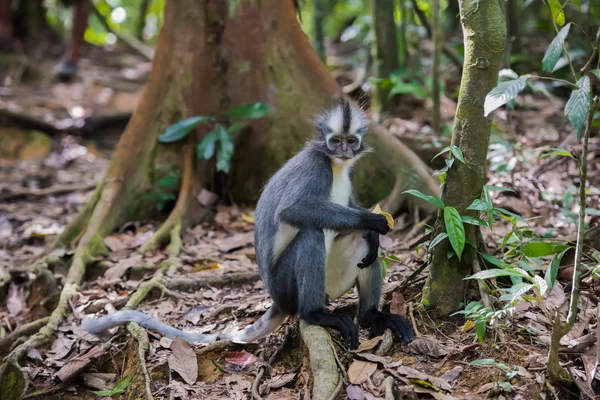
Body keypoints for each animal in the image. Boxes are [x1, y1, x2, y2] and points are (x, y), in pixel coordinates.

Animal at [82, 98, 414, 348]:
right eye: (335, 142)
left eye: (350, 141)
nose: (344, 151)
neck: (335, 165)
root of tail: (279, 301)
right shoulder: (315, 167)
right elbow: (293, 211)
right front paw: (370, 219)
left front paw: (373, 230)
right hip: (285, 286)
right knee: (311, 232)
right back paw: (315, 314)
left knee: (358, 240)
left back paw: (371, 315)